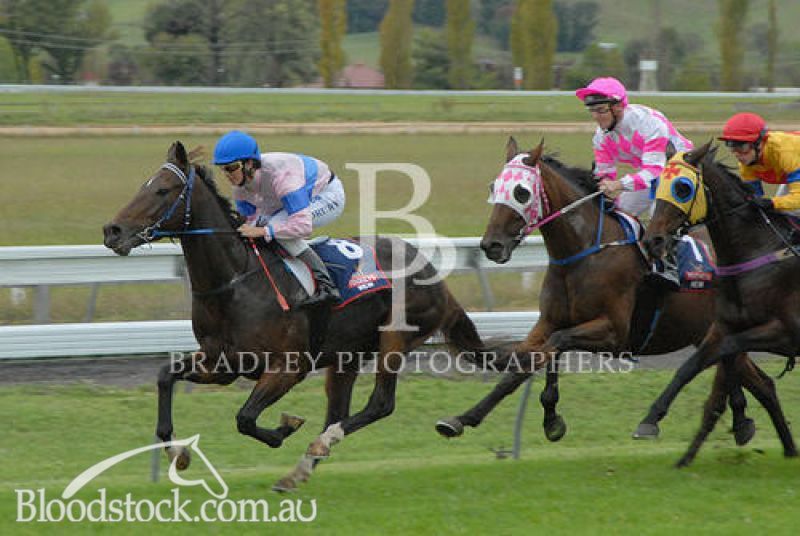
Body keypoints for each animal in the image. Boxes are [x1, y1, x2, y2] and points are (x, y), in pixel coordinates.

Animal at [103, 141, 487, 491]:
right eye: (143, 185)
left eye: (163, 190)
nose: (112, 231)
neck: (235, 283)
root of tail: (435, 274)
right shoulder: (221, 363)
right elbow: (165, 377)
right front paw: (178, 454)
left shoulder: (289, 367)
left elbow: (245, 418)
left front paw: (284, 428)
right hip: (346, 355)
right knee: (339, 411)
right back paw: (300, 469)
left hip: (396, 337)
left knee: (380, 403)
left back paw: (320, 444)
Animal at [435, 137, 761, 446]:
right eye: (494, 187)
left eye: (522, 192)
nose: (491, 245)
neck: (581, 254)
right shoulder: (548, 321)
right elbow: (523, 364)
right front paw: (463, 419)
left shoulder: (614, 332)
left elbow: (557, 342)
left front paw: (550, 417)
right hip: (705, 333)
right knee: (757, 378)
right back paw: (743, 421)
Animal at [643, 141, 799, 466]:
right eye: (657, 183)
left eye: (683, 187)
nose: (653, 241)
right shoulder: (721, 325)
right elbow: (694, 365)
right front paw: (651, 418)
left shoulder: (788, 333)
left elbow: (728, 352)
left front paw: (741, 418)